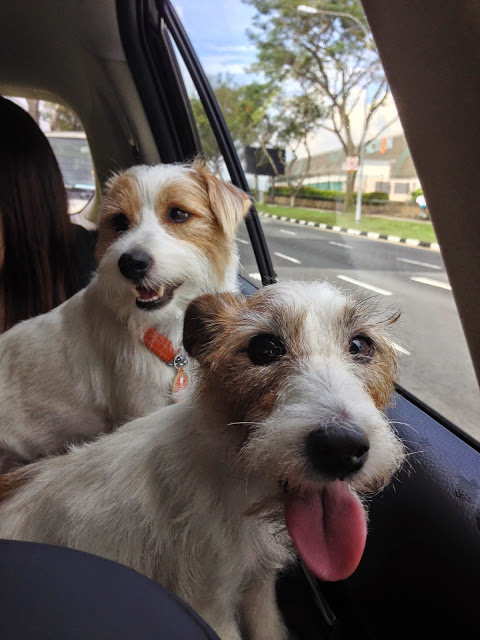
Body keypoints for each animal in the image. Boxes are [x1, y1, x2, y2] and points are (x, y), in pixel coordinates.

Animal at [0, 281, 404, 640]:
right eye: (264, 347)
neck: (237, 482)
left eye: (360, 344)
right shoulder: (210, 605)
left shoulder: (258, 585)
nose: (341, 449)